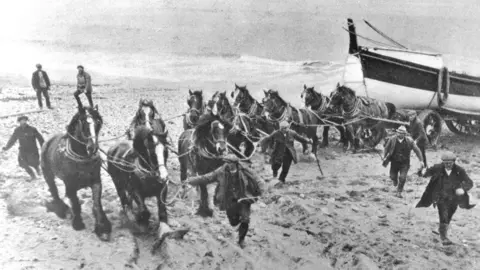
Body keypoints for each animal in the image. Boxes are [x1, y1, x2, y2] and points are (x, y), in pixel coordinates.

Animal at [40, 105, 111, 240]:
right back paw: (61, 209)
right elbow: (76, 203)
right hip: (47, 174)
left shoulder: (96, 182)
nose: (92, 148)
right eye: (84, 124)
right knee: (54, 190)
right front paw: (77, 223)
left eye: (98, 123)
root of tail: (48, 141)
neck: (82, 158)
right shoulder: (70, 186)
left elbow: (97, 203)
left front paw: (102, 227)